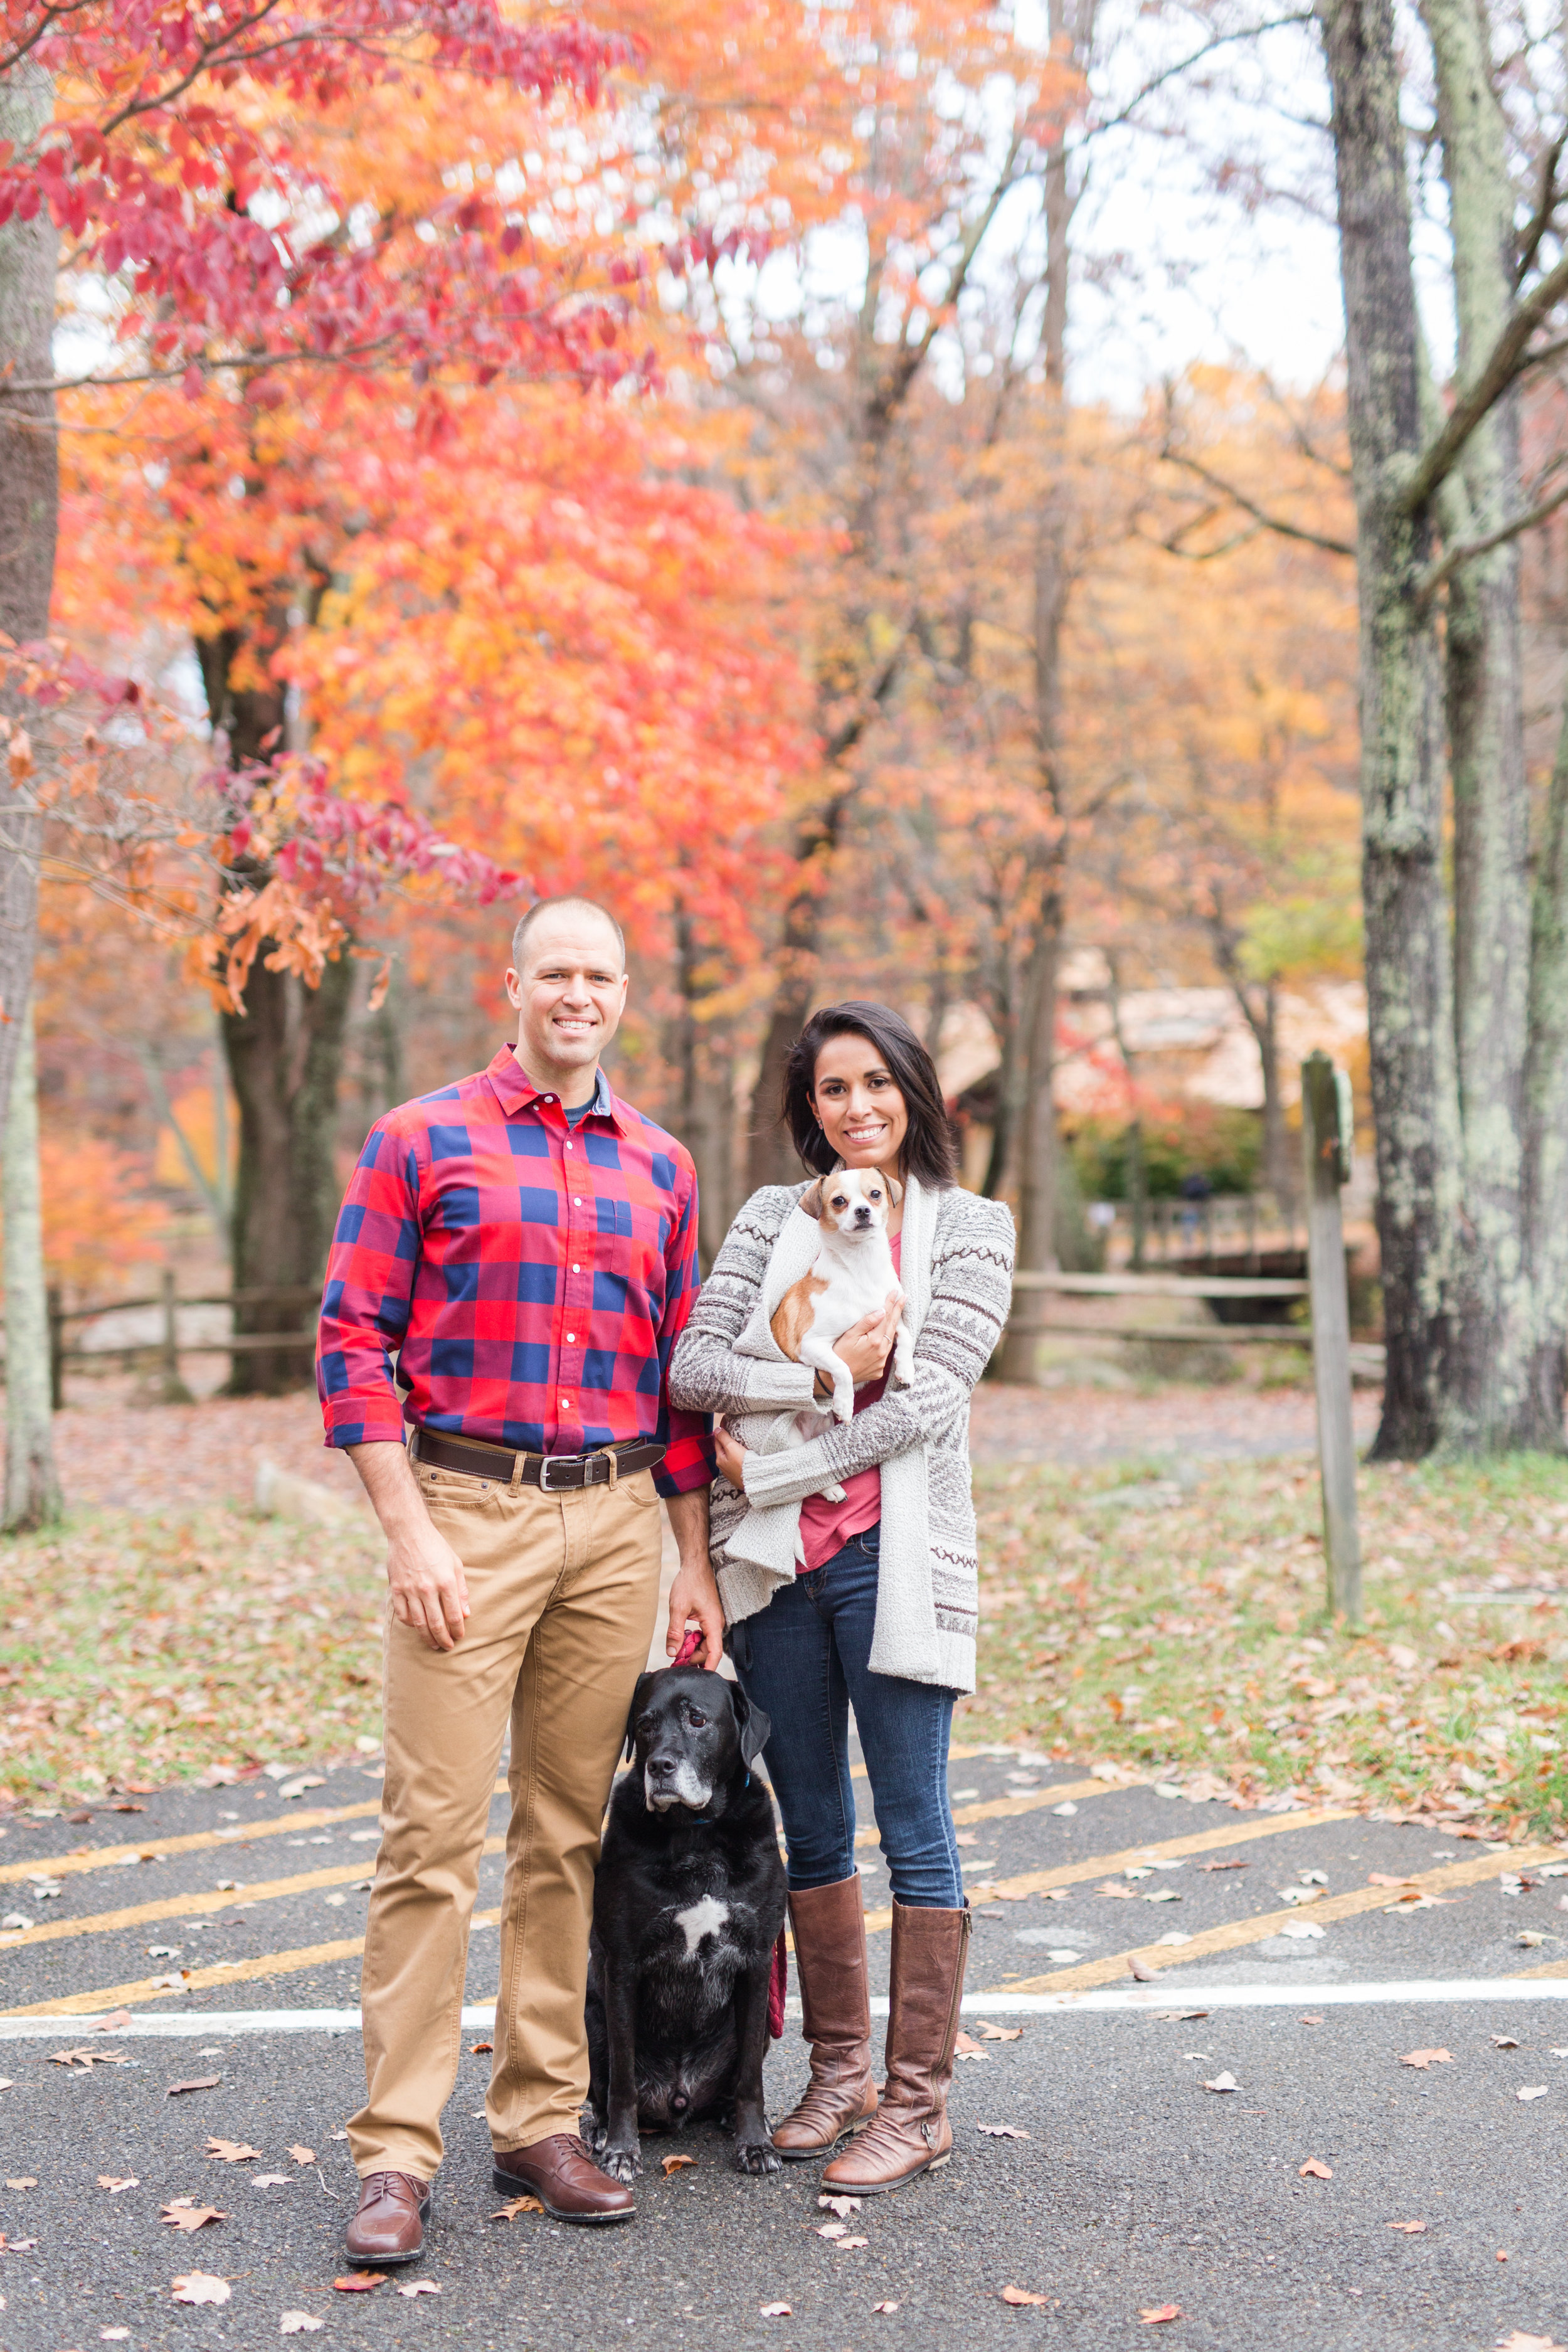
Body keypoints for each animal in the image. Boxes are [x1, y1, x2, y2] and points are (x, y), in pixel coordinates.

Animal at [585, 1665, 790, 2173]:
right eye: (645, 1725)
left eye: (697, 1719)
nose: (660, 1767)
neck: (697, 1833)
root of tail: (679, 2097)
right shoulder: (621, 1965)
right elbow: (621, 2080)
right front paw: (621, 2149)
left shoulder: (757, 1962)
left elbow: (751, 2079)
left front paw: (755, 2143)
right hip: (591, 2017)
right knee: (603, 2086)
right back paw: (599, 2129)